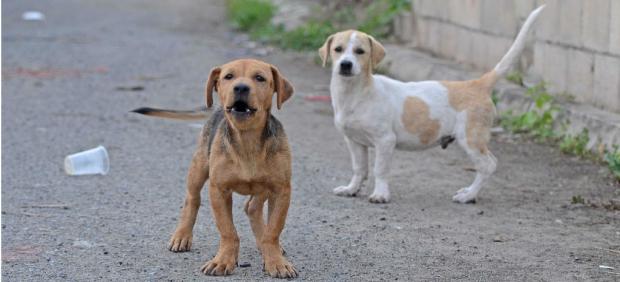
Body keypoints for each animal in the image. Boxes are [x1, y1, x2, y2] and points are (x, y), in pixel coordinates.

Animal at [132, 57, 296, 278]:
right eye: (228, 76)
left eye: (260, 78)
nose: (241, 87)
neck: (248, 140)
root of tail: (216, 108)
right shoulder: (219, 189)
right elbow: (228, 231)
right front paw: (223, 260)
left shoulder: (281, 190)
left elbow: (273, 231)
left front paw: (276, 262)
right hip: (199, 167)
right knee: (192, 199)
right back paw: (181, 236)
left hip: (264, 186)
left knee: (252, 207)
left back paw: (261, 243)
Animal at [320, 4, 544, 203]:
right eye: (338, 49)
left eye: (360, 51)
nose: (345, 65)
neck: (355, 94)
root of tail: (477, 84)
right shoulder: (354, 141)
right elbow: (359, 169)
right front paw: (351, 189)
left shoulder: (385, 141)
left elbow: (380, 170)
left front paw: (380, 195)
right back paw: (468, 192)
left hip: (470, 138)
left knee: (488, 165)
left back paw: (469, 196)